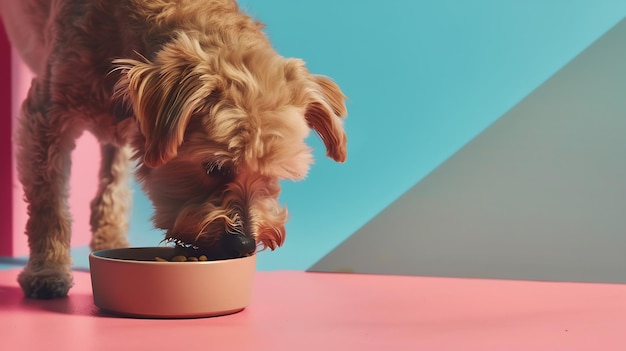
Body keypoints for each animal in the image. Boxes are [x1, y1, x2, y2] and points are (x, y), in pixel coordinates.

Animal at [0, 0, 346, 300]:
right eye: (215, 167)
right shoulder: (46, 116)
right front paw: (47, 270)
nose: (245, 243)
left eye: (274, 177)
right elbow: (49, 205)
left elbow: (111, 185)